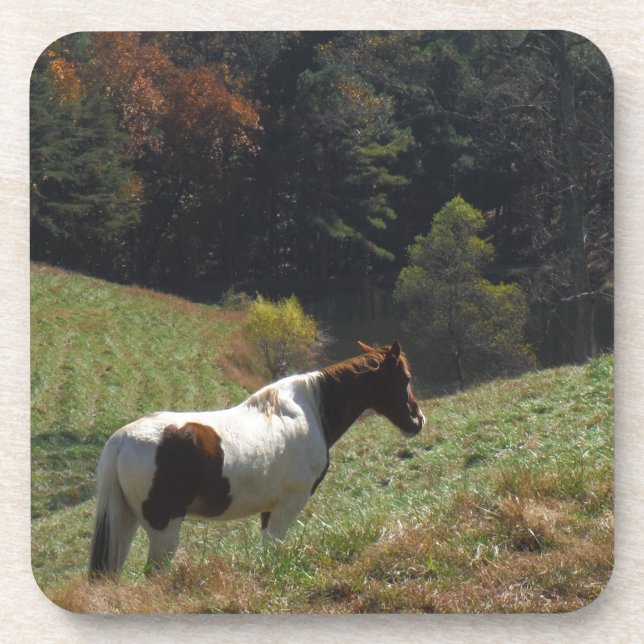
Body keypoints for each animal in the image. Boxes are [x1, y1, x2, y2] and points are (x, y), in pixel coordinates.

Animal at [89, 340, 425, 578]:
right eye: (406, 378)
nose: (417, 421)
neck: (311, 410)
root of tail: (122, 439)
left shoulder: (269, 509)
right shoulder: (287, 506)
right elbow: (275, 550)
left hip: (125, 522)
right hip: (163, 528)